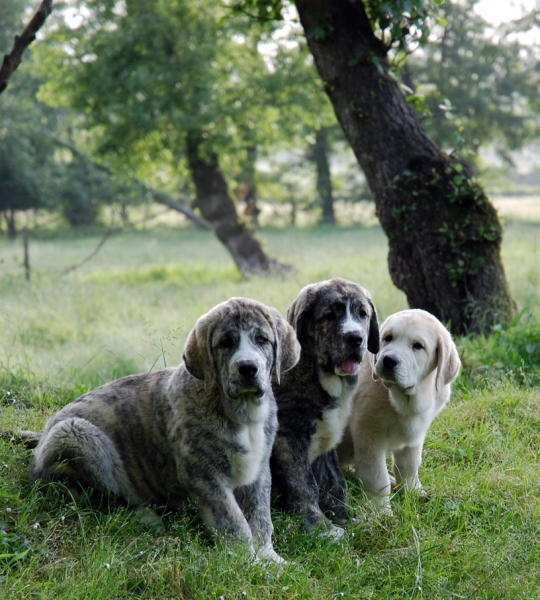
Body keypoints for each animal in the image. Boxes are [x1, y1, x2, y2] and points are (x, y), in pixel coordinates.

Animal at [24, 298, 300, 564]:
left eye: (262, 339)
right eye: (226, 342)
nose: (248, 368)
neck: (243, 413)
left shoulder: (259, 470)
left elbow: (261, 517)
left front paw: (269, 558)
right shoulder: (204, 473)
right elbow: (233, 521)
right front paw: (248, 562)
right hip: (76, 435)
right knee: (101, 498)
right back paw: (145, 516)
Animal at [270, 278, 380, 540]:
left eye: (363, 314)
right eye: (330, 315)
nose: (355, 338)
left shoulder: (326, 441)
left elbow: (335, 481)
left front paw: (347, 518)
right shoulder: (288, 439)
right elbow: (304, 485)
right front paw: (320, 528)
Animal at [338, 310, 460, 516]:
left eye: (418, 346)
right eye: (388, 338)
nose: (388, 360)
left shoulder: (414, 437)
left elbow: (409, 466)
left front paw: (413, 491)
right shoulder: (368, 436)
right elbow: (376, 477)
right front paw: (381, 511)